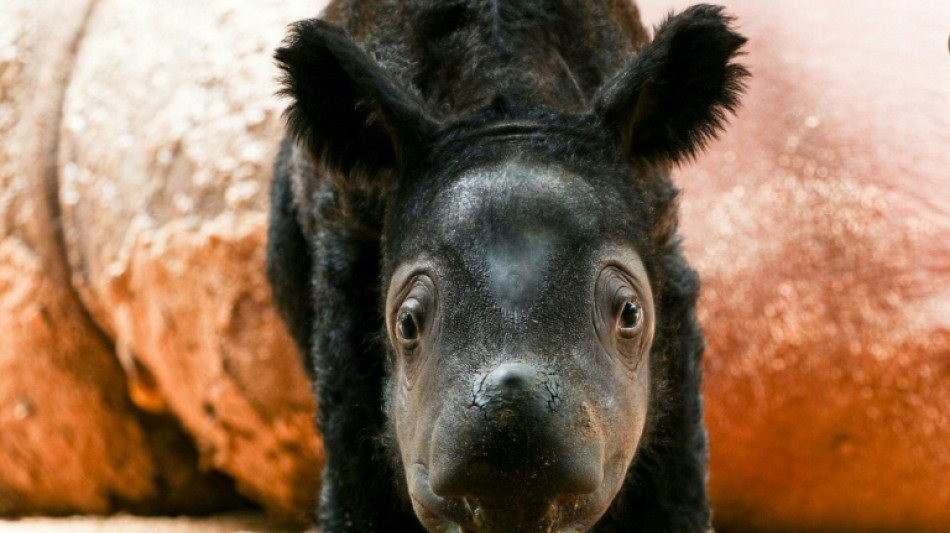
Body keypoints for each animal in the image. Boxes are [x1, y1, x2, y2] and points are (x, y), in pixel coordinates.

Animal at [266, 1, 744, 532]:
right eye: (406, 324)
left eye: (631, 315)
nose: (515, 486)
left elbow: (674, 486)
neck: (511, 101)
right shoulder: (344, 269)